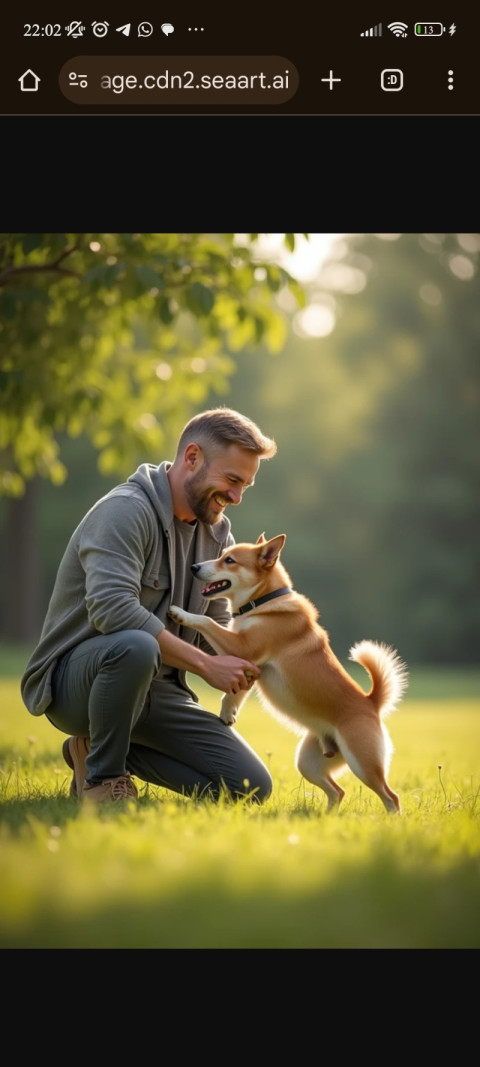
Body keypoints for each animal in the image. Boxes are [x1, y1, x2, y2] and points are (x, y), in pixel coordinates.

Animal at [168, 533, 409, 815]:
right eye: (221, 555)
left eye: (229, 560)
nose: (195, 567)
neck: (263, 602)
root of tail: (371, 703)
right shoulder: (248, 664)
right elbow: (235, 692)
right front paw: (228, 713)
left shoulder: (243, 648)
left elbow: (207, 621)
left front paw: (181, 613)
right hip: (308, 762)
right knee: (338, 791)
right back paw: (326, 818)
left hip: (363, 763)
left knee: (391, 797)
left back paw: (391, 818)